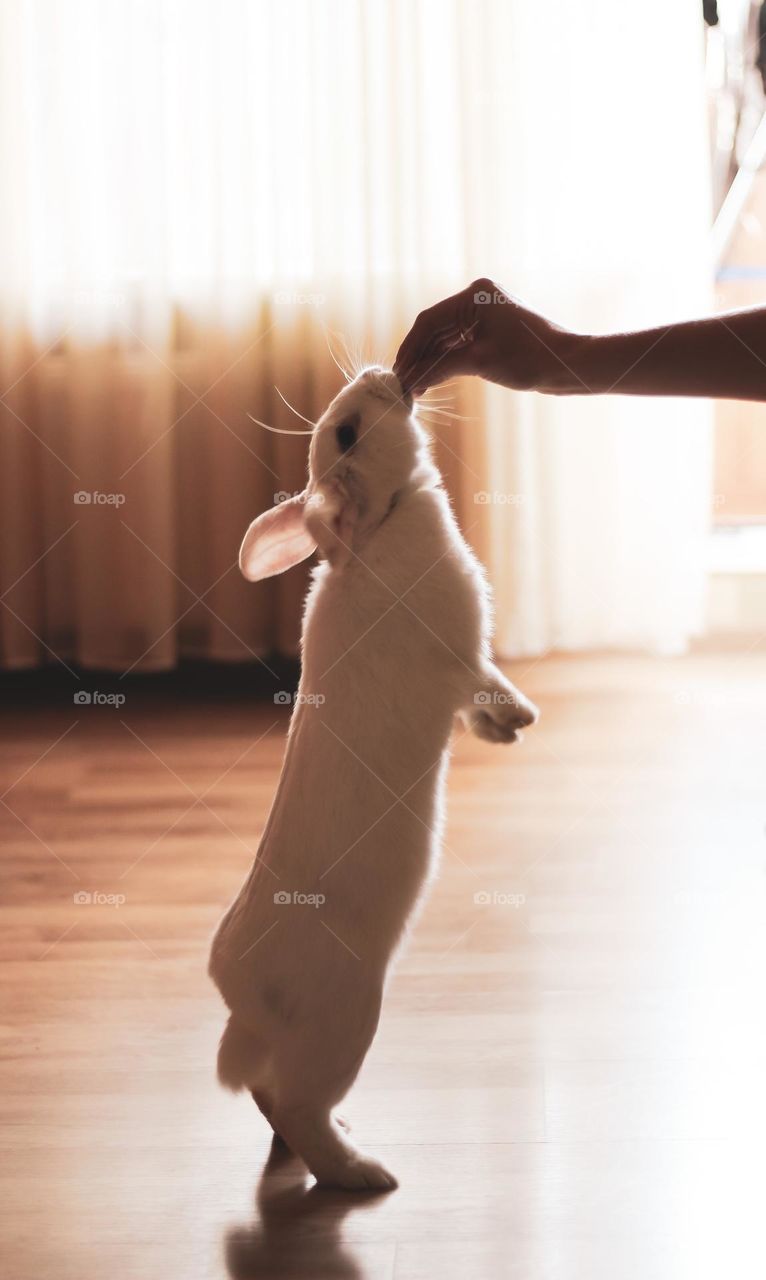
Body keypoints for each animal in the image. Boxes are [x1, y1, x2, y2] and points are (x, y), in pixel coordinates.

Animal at [208, 366, 538, 1191]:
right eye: (349, 432)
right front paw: (520, 717)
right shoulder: (460, 658)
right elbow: (485, 683)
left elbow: (477, 705)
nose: (379, 373)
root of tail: (241, 998)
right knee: (297, 1105)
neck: (382, 526)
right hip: (348, 1024)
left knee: (269, 1097)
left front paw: (504, 731)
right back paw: (364, 1174)